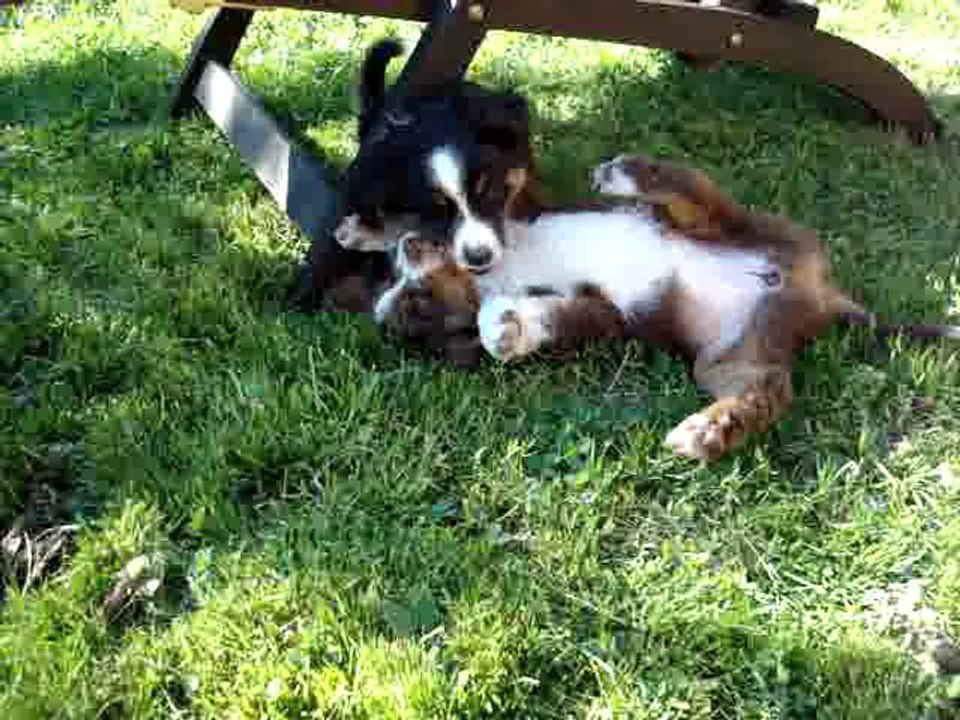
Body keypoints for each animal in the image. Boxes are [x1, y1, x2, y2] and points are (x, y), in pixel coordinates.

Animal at [372, 151, 956, 462]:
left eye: (410, 289)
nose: (405, 245)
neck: (499, 272)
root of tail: (818, 296)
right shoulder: (601, 314)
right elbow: (542, 319)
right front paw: (503, 326)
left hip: (739, 226)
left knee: (692, 191)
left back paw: (623, 173)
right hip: (729, 358)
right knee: (770, 391)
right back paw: (710, 431)